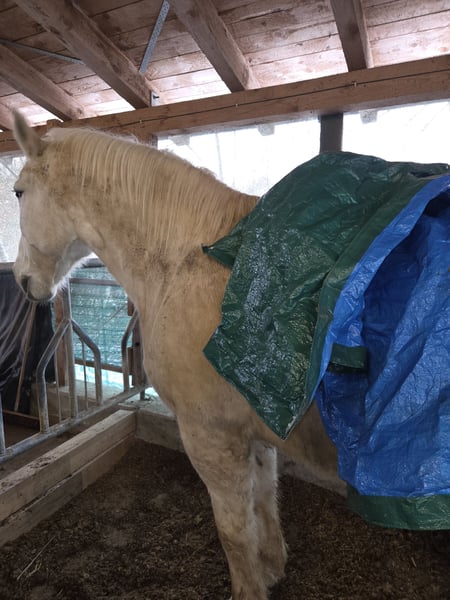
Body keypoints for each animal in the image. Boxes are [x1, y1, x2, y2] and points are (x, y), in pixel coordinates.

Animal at [12, 112, 344, 599]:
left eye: (18, 191)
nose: (20, 278)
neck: (188, 264)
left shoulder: (211, 435)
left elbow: (234, 531)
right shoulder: (254, 436)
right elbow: (265, 499)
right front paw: (272, 567)